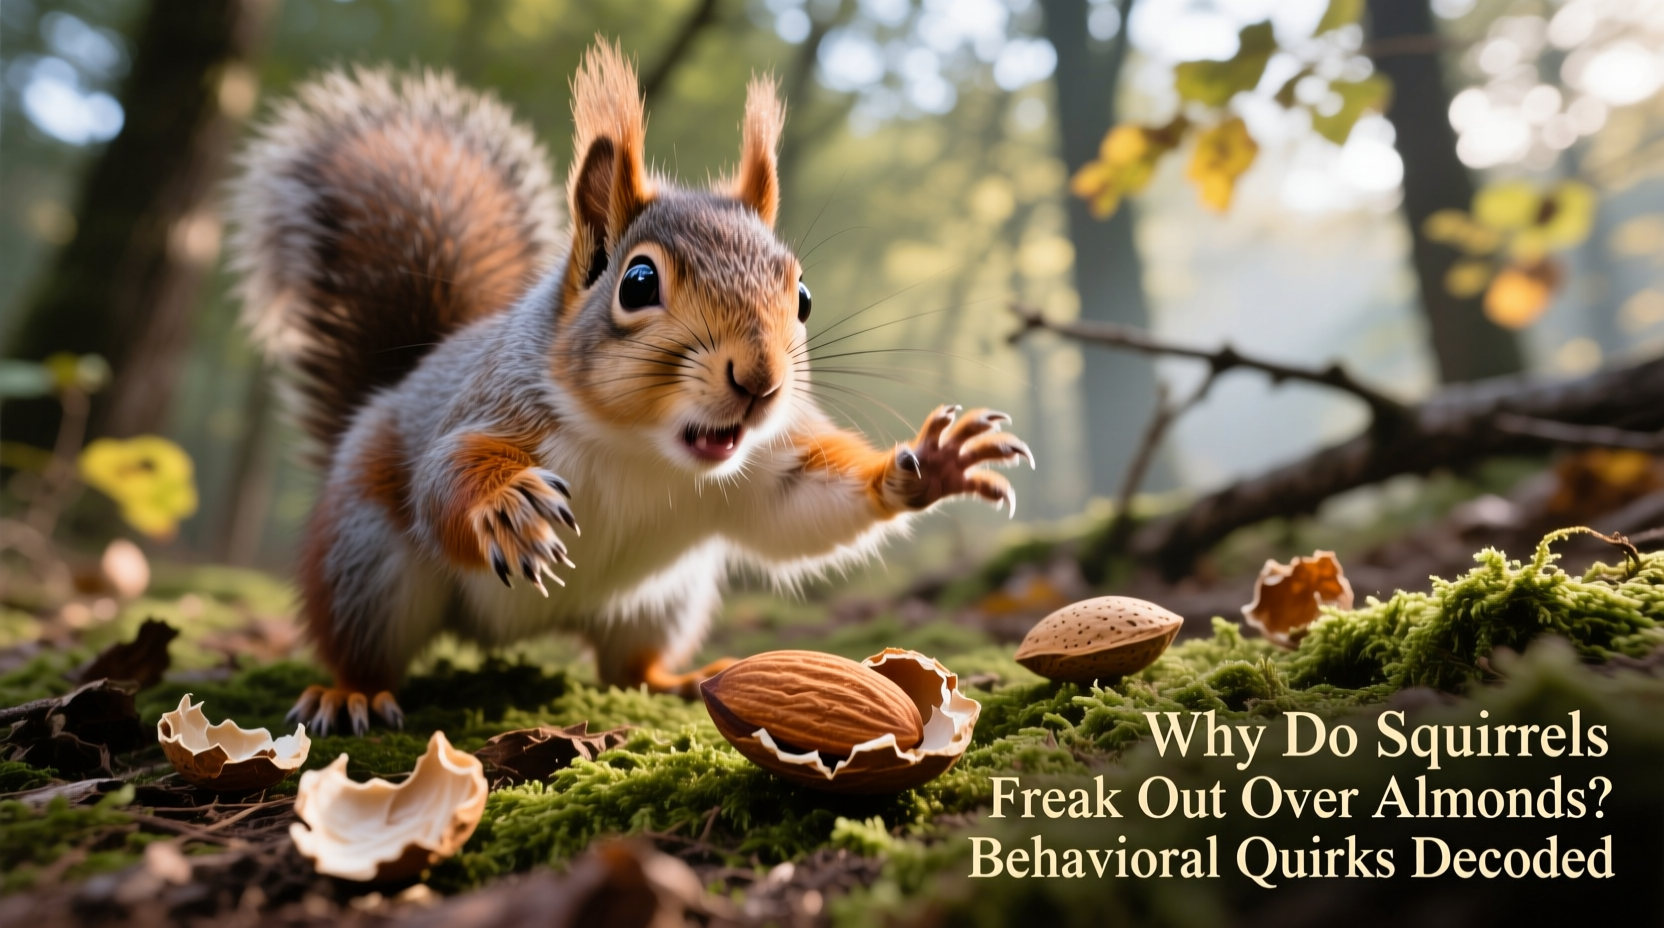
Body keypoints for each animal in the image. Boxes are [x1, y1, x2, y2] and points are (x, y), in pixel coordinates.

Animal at [228, 42, 1034, 735]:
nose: (761, 380)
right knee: (364, 642)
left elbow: (800, 509)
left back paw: (677, 679)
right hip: (364, 561)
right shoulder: (492, 409)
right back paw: (352, 693)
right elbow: (444, 476)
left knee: (625, 666)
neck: (644, 449)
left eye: (802, 296)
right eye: (638, 282)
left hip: (663, 600)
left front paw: (931, 467)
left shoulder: (763, 469)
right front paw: (507, 504)